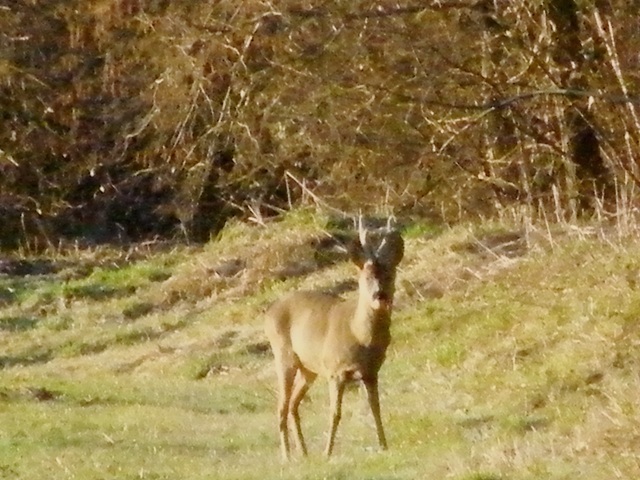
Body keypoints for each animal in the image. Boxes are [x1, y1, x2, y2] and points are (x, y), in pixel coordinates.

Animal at [264, 219, 404, 460]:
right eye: (366, 276)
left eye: (390, 274)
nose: (380, 295)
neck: (360, 336)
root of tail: (269, 312)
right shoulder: (335, 370)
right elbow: (335, 413)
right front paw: (327, 453)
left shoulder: (371, 372)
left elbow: (376, 408)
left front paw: (383, 446)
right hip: (284, 355)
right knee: (281, 405)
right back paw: (287, 457)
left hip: (308, 368)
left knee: (293, 404)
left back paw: (304, 453)